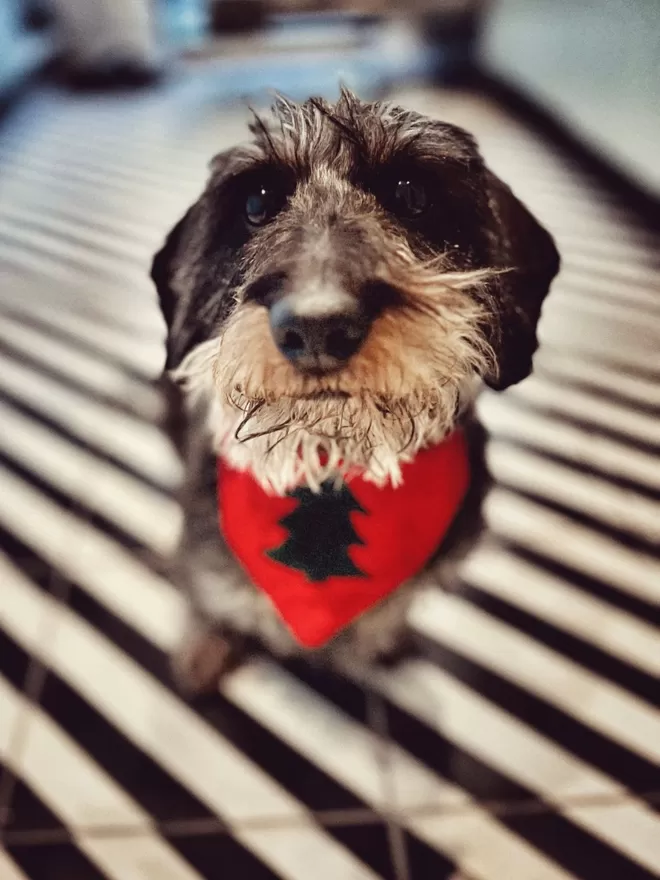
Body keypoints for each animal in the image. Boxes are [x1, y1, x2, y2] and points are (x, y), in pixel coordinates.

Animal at [152, 91, 560, 696]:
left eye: (412, 195)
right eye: (257, 202)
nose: (319, 327)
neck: (332, 464)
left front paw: (382, 646)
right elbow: (210, 592)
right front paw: (207, 642)